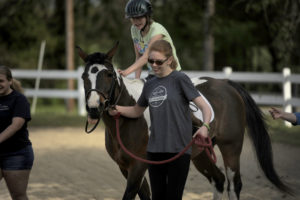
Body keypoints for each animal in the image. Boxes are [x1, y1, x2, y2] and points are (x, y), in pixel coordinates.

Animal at [76, 42, 292, 200]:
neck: (127, 120)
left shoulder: (138, 166)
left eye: (109, 74)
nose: (94, 108)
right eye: (84, 76)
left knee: (233, 184)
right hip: (201, 153)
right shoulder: (124, 167)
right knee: (219, 179)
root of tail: (226, 84)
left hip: (231, 146)